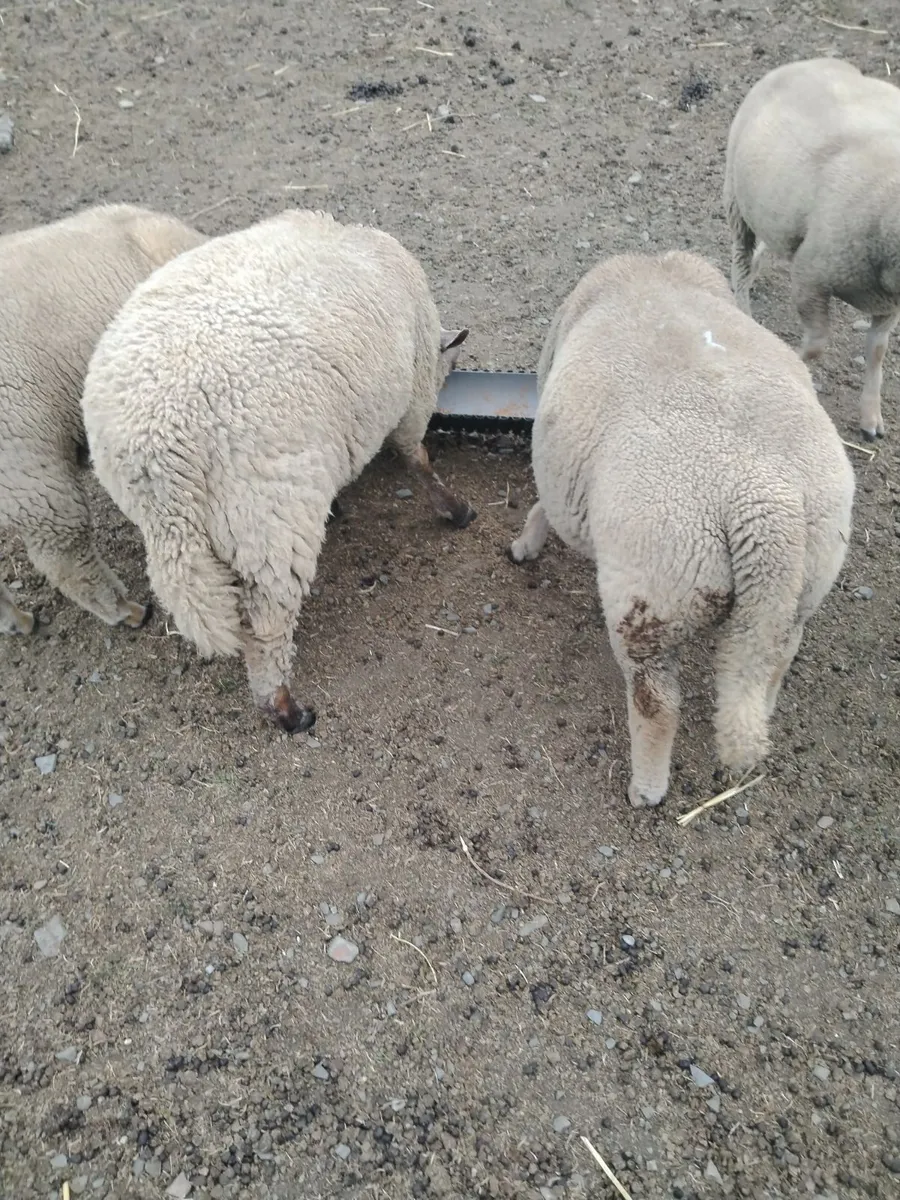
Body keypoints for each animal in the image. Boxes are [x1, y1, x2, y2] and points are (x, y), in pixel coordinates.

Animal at [81, 208, 476, 734]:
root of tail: (159, 452)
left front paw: (341, 504)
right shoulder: (411, 398)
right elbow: (418, 459)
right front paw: (456, 510)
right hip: (265, 515)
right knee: (266, 622)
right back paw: (287, 709)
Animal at [509, 250, 855, 808]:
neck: (652, 273)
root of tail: (763, 499)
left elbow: (544, 502)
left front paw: (525, 544)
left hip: (653, 595)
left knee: (657, 703)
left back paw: (646, 788)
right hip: (804, 579)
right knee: (773, 659)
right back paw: (762, 710)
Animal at [724, 56, 900, 441]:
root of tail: (811, 61)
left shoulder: (889, 304)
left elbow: (877, 352)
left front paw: (871, 418)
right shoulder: (811, 277)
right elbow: (818, 343)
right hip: (738, 201)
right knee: (741, 265)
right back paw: (744, 311)